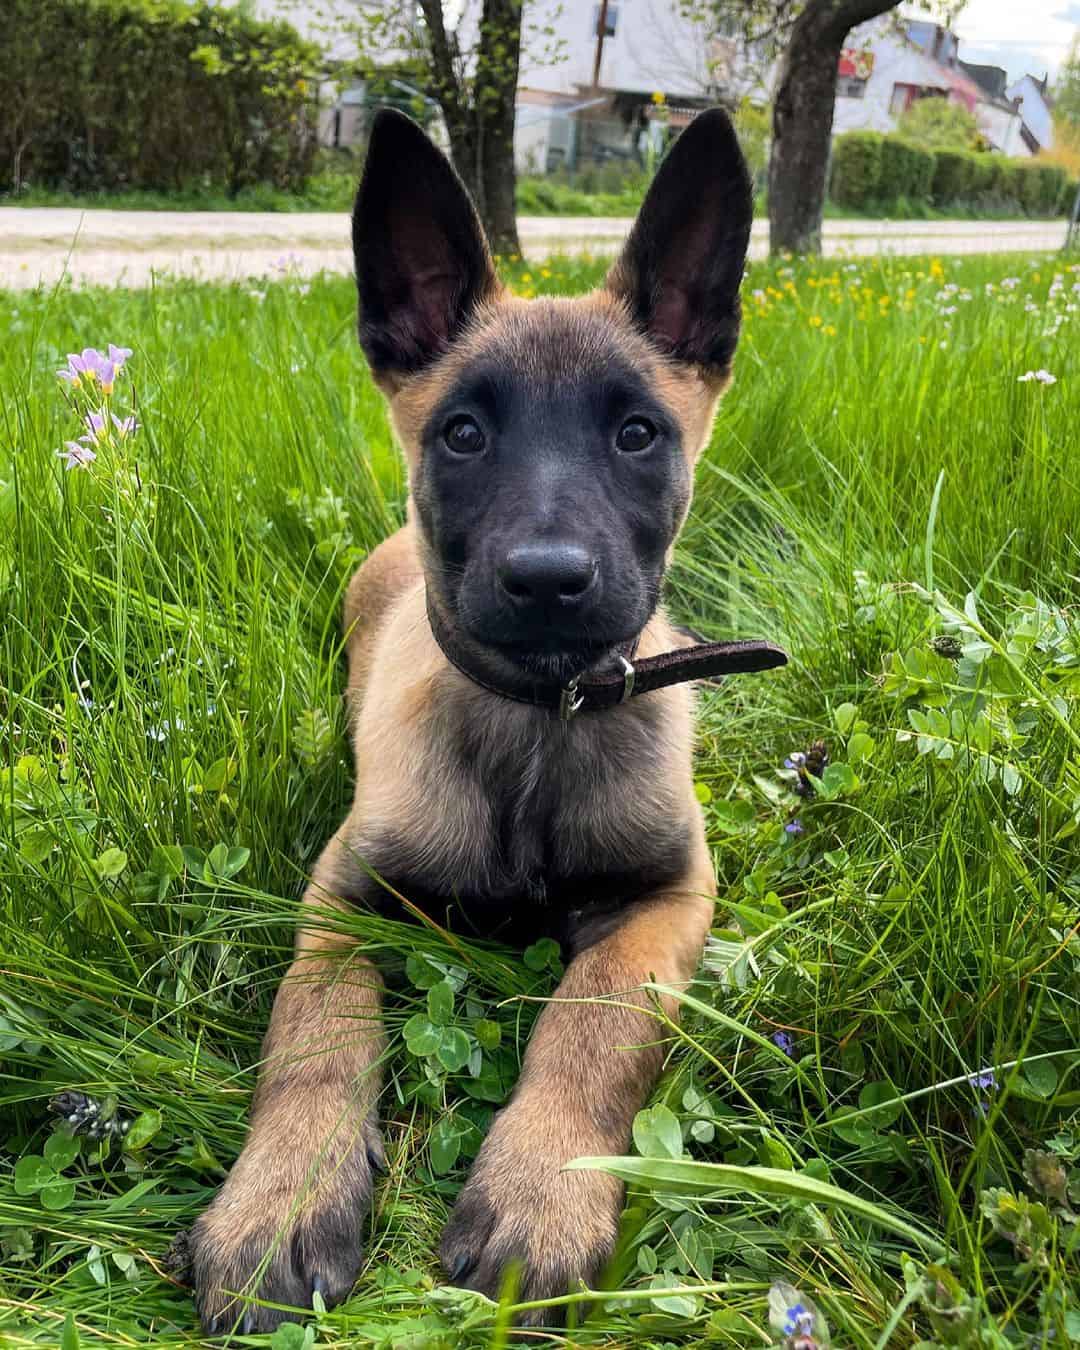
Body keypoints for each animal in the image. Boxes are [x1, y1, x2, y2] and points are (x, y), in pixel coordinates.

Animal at [183, 102, 777, 1328]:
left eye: (638, 434)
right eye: (463, 434)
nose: (547, 581)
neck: (539, 725)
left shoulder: (670, 893)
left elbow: (595, 1018)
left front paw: (542, 1190)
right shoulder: (343, 897)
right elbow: (314, 1034)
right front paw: (279, 1203)